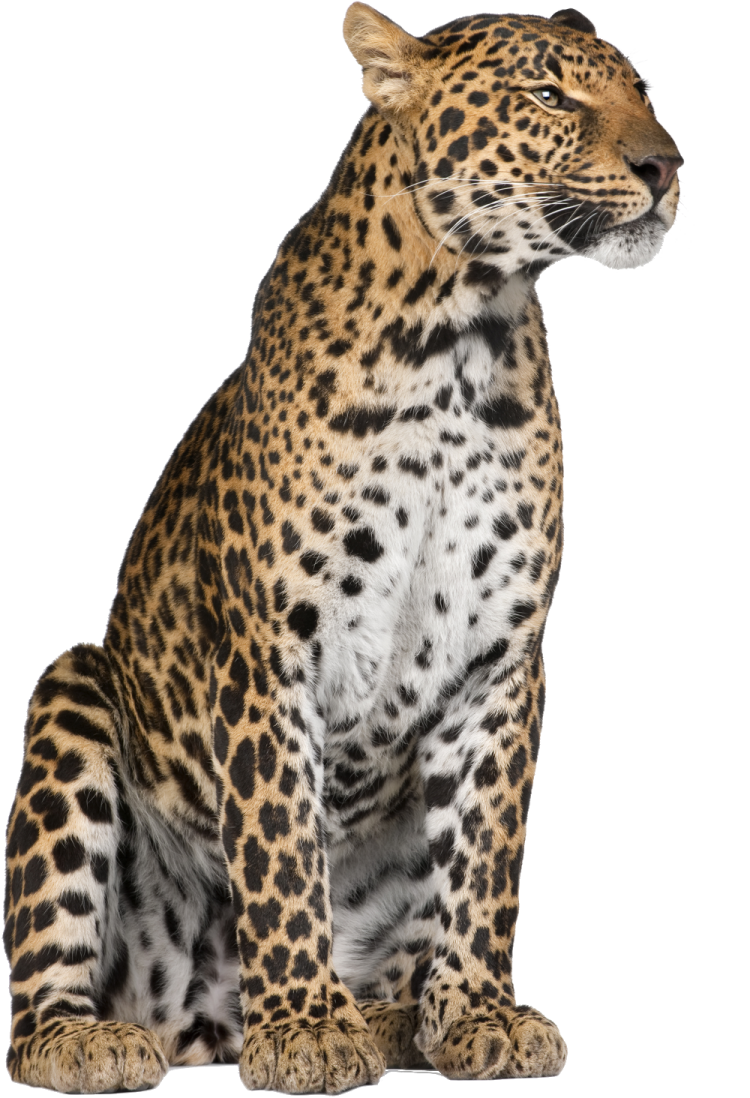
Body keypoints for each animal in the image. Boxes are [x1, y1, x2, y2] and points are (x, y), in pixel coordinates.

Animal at [5, 3, 682, 1091]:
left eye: (642, 92)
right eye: (548, 95)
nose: (665, 164)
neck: (459, 341)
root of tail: (199, 1019)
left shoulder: (501, 662)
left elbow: (486, 858)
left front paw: (480, 1013)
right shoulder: (270, 655)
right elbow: (280, 842)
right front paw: (305, 1029)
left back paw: (395, 1019)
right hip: (71, 693)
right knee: (40, 993)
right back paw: (98, 1041)